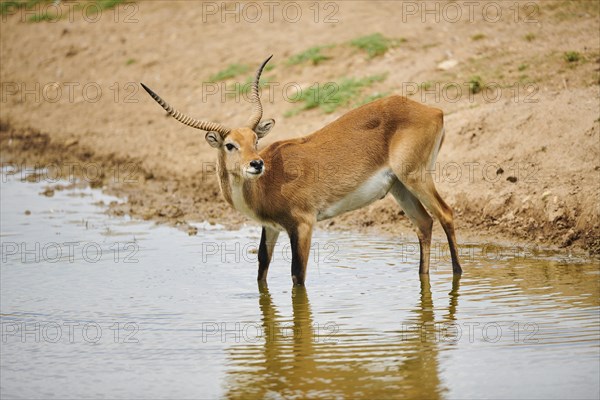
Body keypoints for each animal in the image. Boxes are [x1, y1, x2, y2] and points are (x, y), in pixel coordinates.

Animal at [142, 55, 464, 284]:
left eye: (255, 140)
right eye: (230, 145)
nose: (256, 163)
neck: (268, 183)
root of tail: (433, 111)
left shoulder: (303, 224)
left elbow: (298, 275)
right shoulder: (271, 227)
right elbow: (262, 268)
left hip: (415, 177)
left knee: (445, 213)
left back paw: (458, 274)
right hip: (399, 186)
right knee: (424, 223)